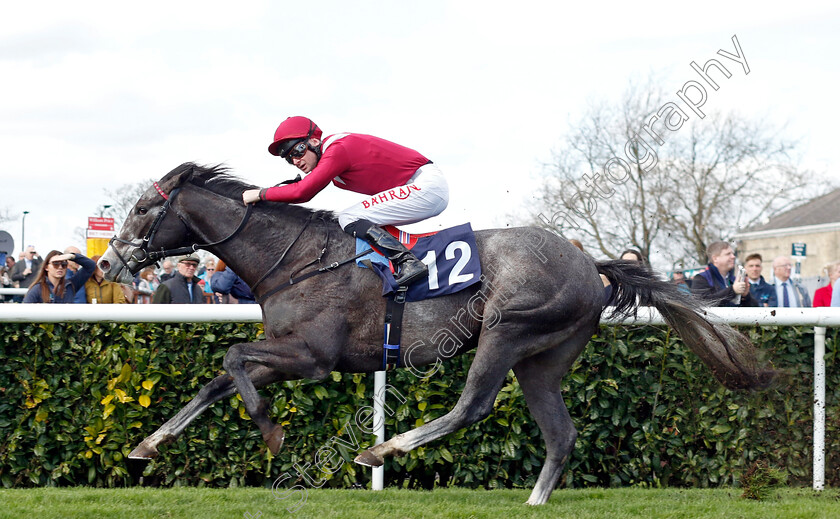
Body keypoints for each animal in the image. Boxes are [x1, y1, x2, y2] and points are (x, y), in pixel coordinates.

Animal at [98, 162, 776, 504]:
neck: (295, 260)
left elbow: (234, 358)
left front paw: (269, 430)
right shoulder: (287, 351)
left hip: (507, 329)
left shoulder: (312, 356)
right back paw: (533, 503)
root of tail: (591, 264)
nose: (107, 264)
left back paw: (381, 451)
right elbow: (218, 379)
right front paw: (148, 444)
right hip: (542, 358)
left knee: (471, 406)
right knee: (560, 433)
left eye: (140, 210)